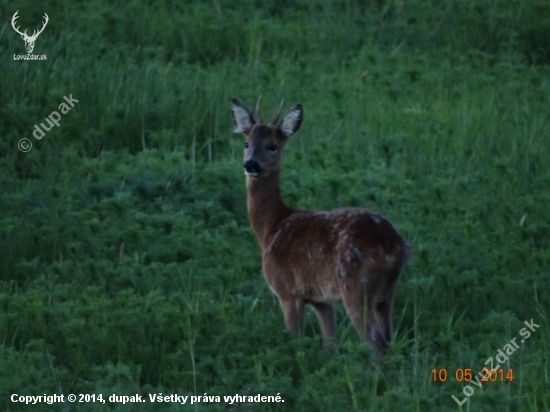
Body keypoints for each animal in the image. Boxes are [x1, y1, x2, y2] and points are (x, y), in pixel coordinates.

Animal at [231, 96, 412, 354]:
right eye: (246, 143)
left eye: (272, 145)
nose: (251, 164)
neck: (270, 227)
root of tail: (393, 245)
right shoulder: (320, 299)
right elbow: (330, 343)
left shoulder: (287, 291)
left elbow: (294, 338)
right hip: (387, 293)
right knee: (388, 336)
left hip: (355, 287)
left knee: (377, 342)